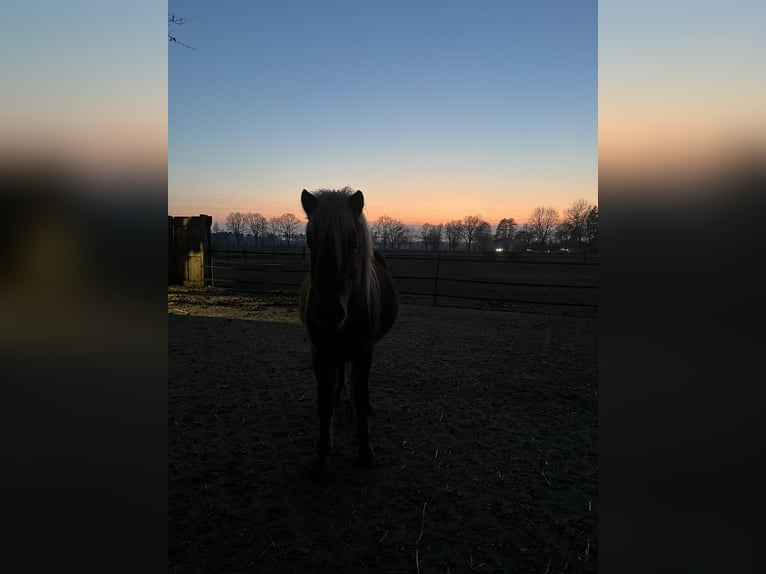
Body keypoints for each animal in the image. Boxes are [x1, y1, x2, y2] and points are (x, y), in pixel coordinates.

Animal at [299, 187, 398, 480]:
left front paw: (365, 453)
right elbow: (324, 403)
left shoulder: (364, 353)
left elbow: (360, 396)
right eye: (310, 240)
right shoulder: (320, 354)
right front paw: (322, 458)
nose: (328, 313)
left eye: (353, 240)